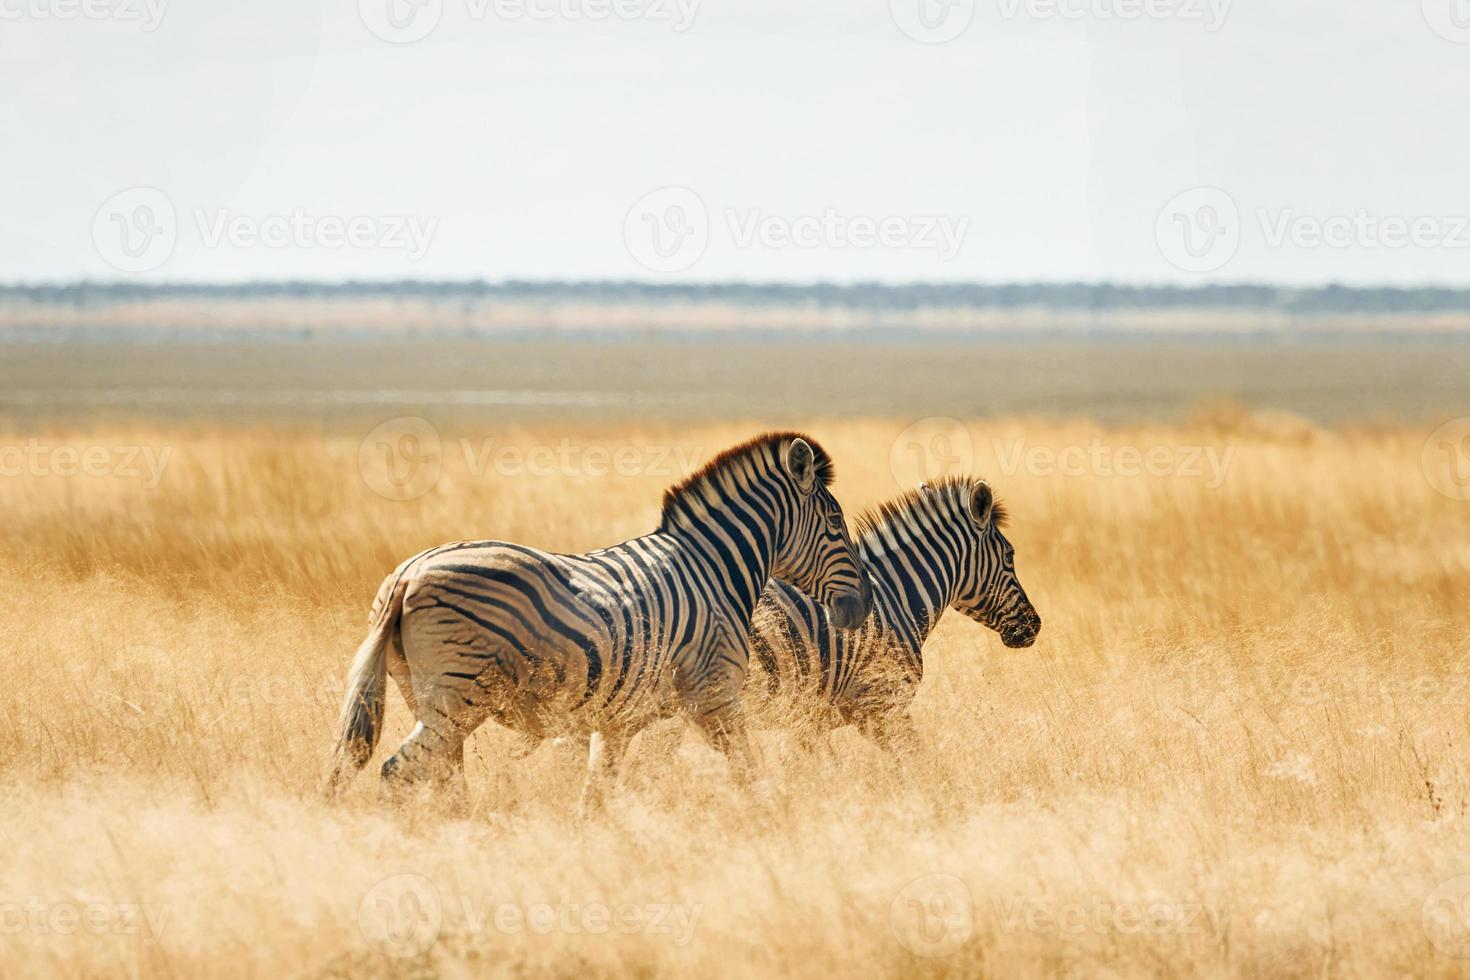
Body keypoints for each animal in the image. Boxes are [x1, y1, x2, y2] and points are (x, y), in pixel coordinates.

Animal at [326, 431, 864, 811]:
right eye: (837, 524)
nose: (860, 607)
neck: (713, 568)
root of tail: (408, 572)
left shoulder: (618, 718)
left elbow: (596, 794)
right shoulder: (716, 694)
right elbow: (748, 770)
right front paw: (770, 822)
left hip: (426, 697)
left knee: (439, 777)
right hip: (458, 695)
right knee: (398, 771)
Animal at [752, 476, 1040, 752]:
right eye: (1009, 555)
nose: (1035, 625)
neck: (896, 595)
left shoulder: (814, 719)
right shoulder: (882, 705)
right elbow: (913, 759)